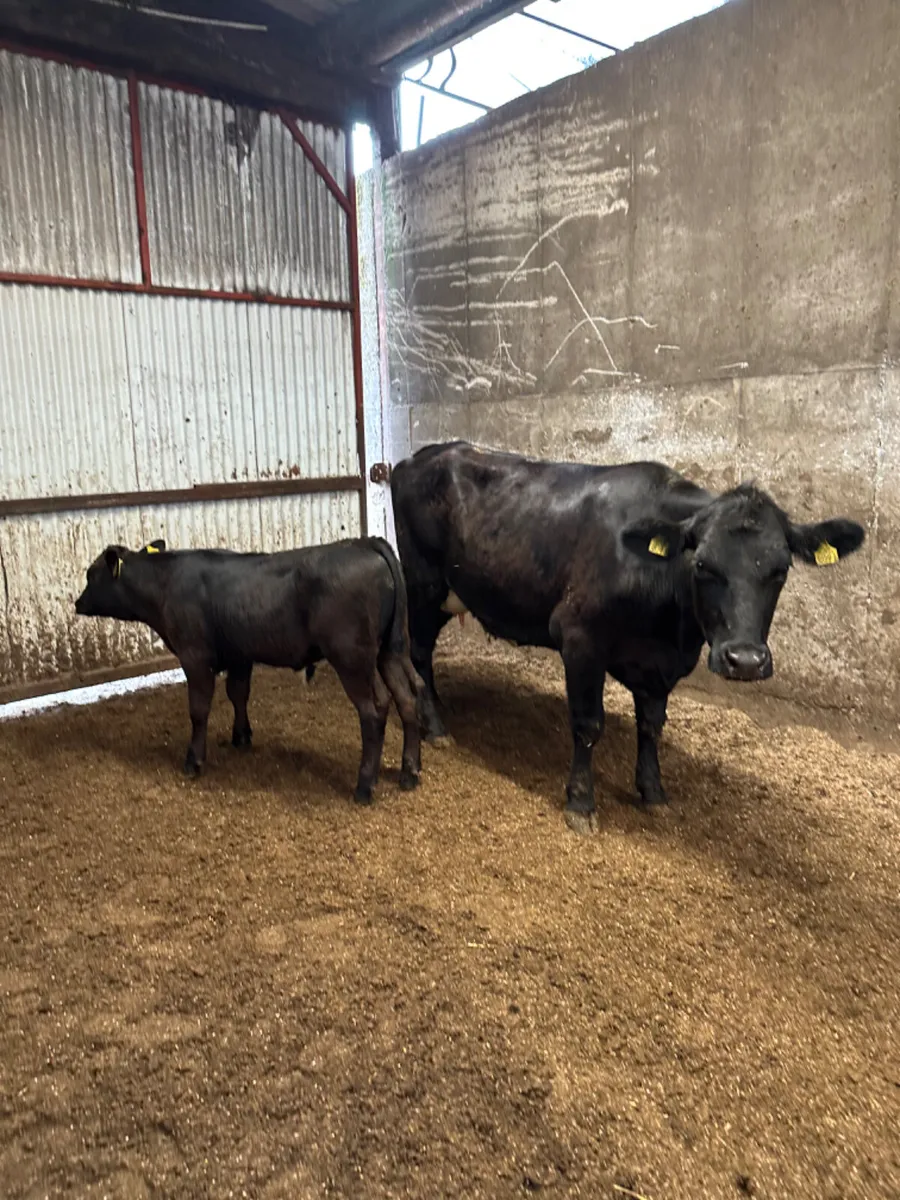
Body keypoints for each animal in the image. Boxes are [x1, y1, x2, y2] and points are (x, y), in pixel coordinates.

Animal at [74, 537, 423, 805]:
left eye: (91, 575)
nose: (77, 603)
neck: (166, 582)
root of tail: (364, 543)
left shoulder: (195, 657)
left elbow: (199, 710)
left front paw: (193, 761)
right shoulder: (240, 655)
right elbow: (238, 694)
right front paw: (241, 736)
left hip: (352, 658)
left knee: (374, 711)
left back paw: (364, 787)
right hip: (389, 651)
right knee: (406, 699)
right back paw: (410, 772)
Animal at [390, 441, 866, 834]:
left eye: (781, 569)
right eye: (702, 565)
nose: (745, 660)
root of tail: (420, 456)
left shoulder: (661, 662)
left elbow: (651, 725)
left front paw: (653, 791)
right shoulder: (579, 637)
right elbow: (588, 723)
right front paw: (581, 803)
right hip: (423, 583)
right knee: (418, 652)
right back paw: (435, 726)